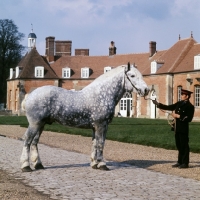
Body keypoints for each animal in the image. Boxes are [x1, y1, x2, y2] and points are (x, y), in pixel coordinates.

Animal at [20, 63, 149, 172]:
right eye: (132, 75)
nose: (146, 90)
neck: (103, 94)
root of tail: (30, 95)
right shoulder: (101, 125)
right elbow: (101, 143)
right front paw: (102, 164)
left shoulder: (96, 127)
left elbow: (95, 143)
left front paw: (94, 164)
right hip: (35, 124)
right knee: (27, 140)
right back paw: (26, 166)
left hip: (41, 124)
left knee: (34, 142)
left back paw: (38, 165)